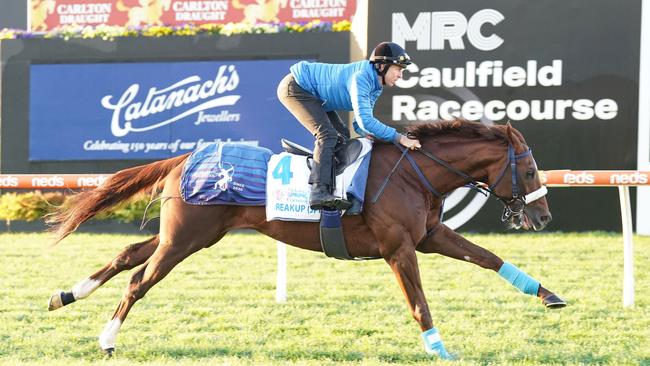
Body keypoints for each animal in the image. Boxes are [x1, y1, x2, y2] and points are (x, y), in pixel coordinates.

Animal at [46, 119, 560, 358]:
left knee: (128, 255)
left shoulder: (430, 235)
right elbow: (419, 303)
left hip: (194, 235)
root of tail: (182, 159)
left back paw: (65, 294)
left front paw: (548, 294)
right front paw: (438, 349)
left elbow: (487, 257)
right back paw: (106, 338)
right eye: (531, 170)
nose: (543, 217)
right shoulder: (399, 249)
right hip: (185, 238)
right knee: (139, 281)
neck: (413, 173)